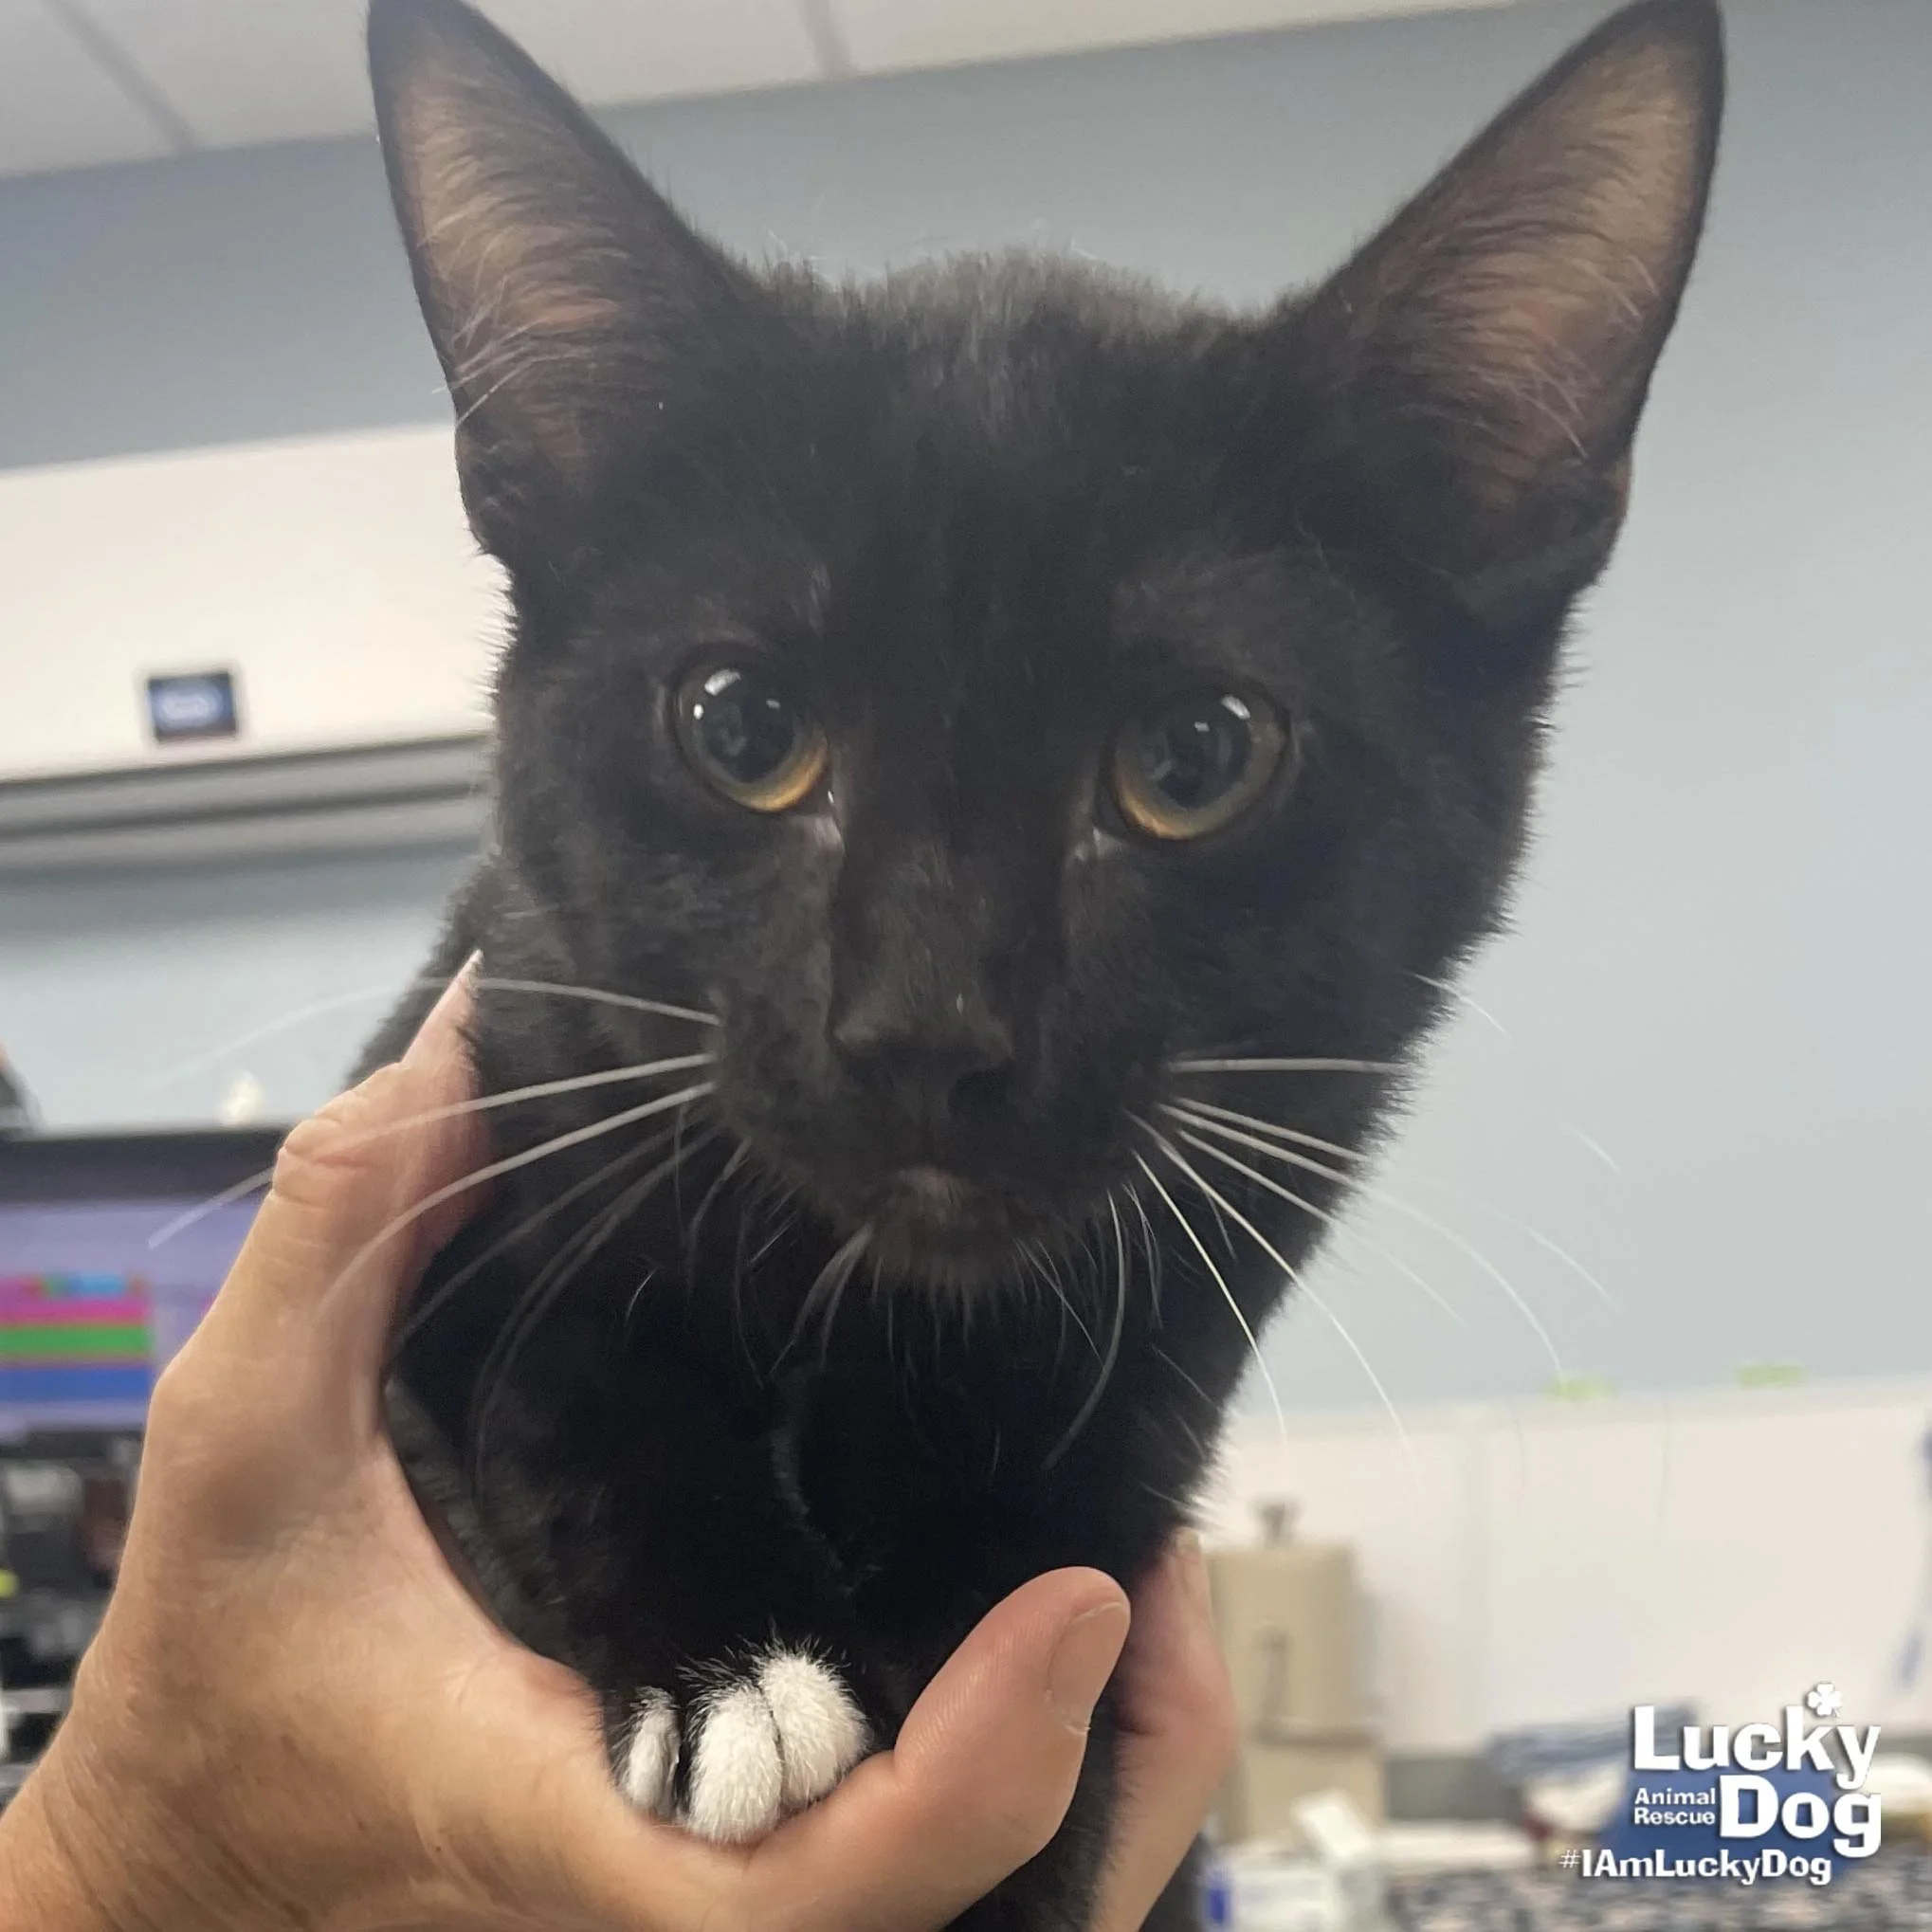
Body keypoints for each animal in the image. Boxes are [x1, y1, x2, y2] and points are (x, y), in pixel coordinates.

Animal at [357, 1, 1723, 1924]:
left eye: (1197, 757)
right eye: (741, 727)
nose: (924, 1028)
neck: (873, 1308)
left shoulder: (1145, 1404)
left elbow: (1034, 1659)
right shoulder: (488, 1090)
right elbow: (556, 1360)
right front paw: (735, 1670)